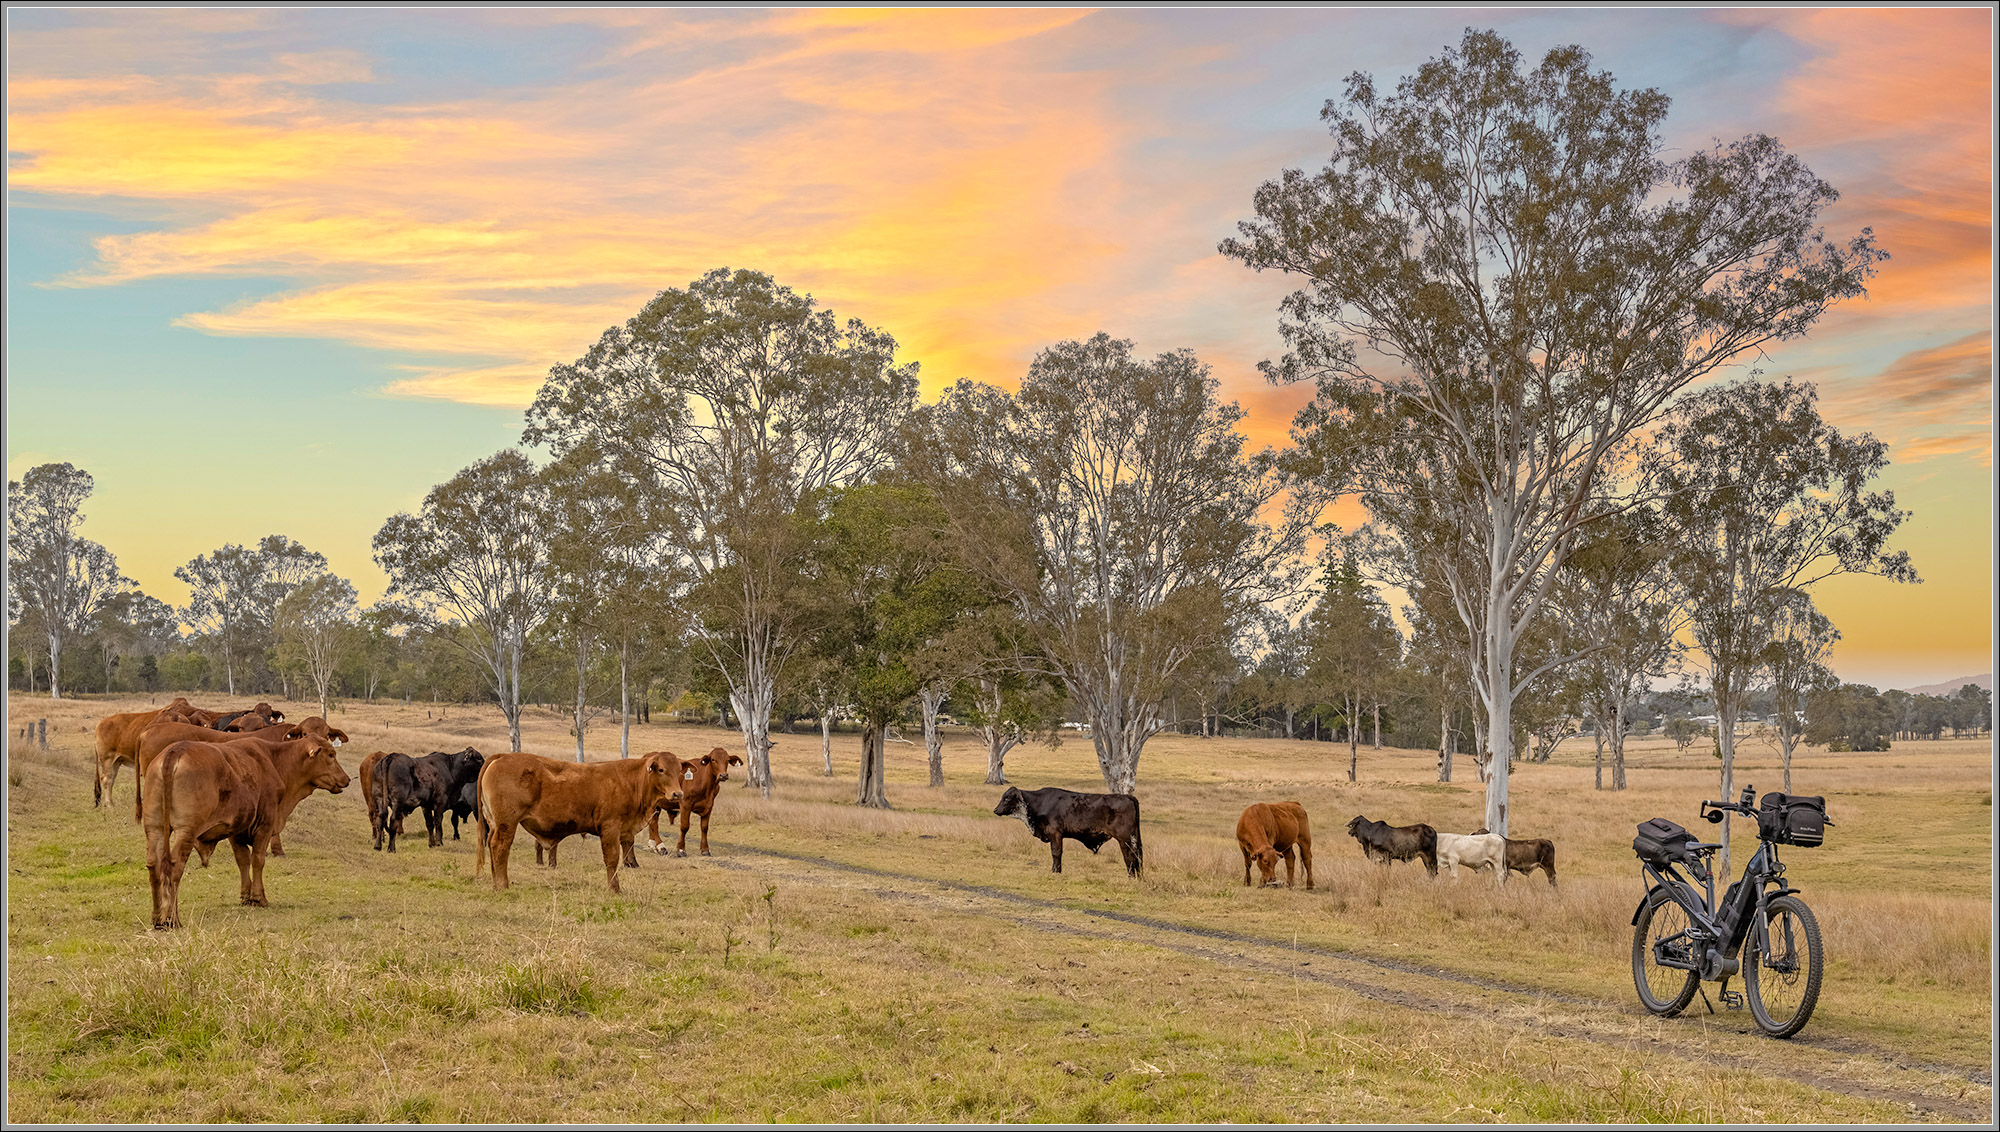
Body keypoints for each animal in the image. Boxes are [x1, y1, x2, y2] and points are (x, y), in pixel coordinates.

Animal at [141, 736, 350, 932]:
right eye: (331, 755)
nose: (346, 779)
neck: (274, 760)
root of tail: (175, 750)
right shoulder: (265, 824)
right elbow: (257, 860)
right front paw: (258, 898)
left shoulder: (236, 829)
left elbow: (242, 860)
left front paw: (245, 896)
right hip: (186, 831)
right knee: (174, 868)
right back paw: (172, 919)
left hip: (155, 828)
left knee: (154, 866)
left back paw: (157, 917)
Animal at [476, 756, 688, 896]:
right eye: (661, 769)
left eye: (680, 771)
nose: (678, 794)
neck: (630, 781)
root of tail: (503, 756)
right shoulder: (610, 828)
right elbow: (612, 859)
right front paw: (614, 889)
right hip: (506, 825)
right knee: (500, 848)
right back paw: (502, 885)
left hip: (494, 824)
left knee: (491, 846)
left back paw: (495, 883)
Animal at [988, 784, 1144, 884]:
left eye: (1007, 798)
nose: (995, 810)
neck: (1039, 803)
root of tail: (1127, 797)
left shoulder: (1055, 834)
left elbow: (1056, 853)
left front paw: (1056, 871)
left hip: (1125, 838)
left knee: (1130, 856)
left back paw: (1131, 877)